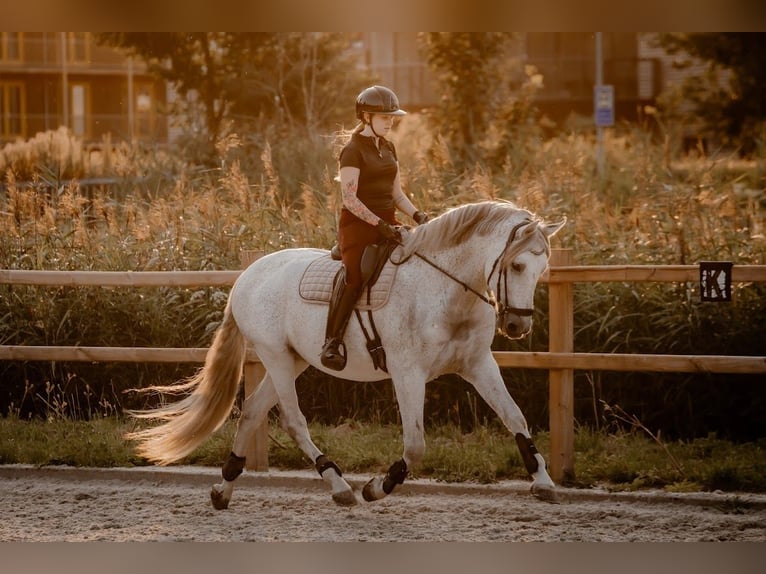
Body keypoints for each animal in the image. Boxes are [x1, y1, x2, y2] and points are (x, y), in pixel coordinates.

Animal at [129, 201, 568, 508]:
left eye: (542, 269)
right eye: (517, 265)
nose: (518, 326)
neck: (445, 288)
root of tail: (247, 275)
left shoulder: (478, 365)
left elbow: (515, 417)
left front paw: (542, 481)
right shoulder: (408, 372)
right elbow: (415, 444)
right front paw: (376, 488)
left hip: (293, 359)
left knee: (252, 412)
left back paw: (223, 491)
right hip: (275, 356)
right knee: (292, 420)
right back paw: (338, 485)